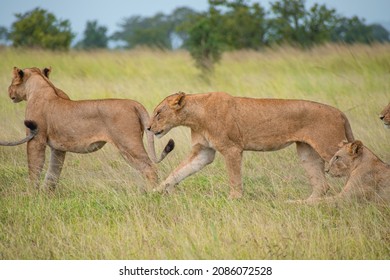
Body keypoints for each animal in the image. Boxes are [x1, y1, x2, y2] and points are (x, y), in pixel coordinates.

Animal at [7, 67, 174, 190]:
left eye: (12, 81)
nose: (8, 92)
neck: (41, 85)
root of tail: (134, 103)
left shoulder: (36, 139)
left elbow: (34, 168)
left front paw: (32, 195)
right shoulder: (59, 148)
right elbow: (53, 173)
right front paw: (46, 195)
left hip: (128, 144)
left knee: (150, 168)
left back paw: (151, 192)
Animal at [148, 91, 354, 199]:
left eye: (158, 112)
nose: (149, 127)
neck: (196, 115)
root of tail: (340, 112)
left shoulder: (231, 148)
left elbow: (234, 178)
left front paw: (234, 199)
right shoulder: (204, 151)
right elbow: (178, 171)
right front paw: (155, 191)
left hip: (331, 149)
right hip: (307, 152)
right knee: (322, 185)